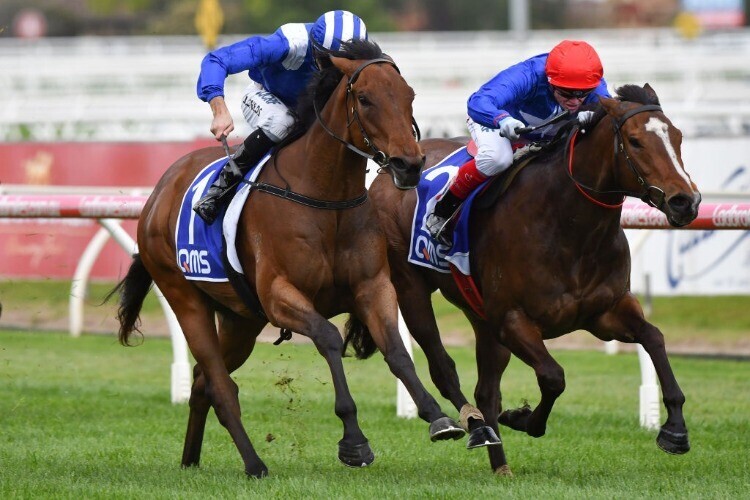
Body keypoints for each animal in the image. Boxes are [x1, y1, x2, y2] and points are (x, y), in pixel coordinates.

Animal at [111, 40, 465, 478]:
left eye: (409, 96)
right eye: (365, 99)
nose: (410, 165)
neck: (325, 196)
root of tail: (159, 191)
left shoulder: (372, 286)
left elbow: (397, 351)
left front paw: (438, 416)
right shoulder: (280, 295)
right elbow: (329, 339)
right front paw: (354, 441)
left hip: (242, 320)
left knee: (202, 381)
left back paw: (190, 459)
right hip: (185, 299)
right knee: (220, 386)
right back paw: (254, 464)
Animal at [368, 84, 701, 475]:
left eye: (677, 136)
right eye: (635, 141)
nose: (685, 201)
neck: (569, 227)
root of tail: (389, 171)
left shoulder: (605, 313)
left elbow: (654, 338)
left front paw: (675, 429)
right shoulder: (513, 320)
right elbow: (554, 377)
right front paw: (523, 418)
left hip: (480, 314)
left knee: (486, 390)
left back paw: (500, 464)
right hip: (412, 288)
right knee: (443, 367)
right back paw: (476, 428)